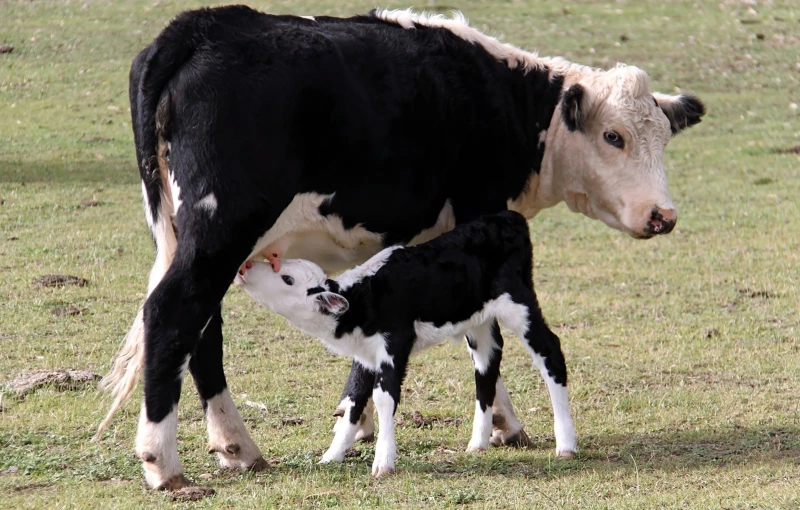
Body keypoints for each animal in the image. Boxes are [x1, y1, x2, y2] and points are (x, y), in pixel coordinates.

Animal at [234, 209, 572, 476]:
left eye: (287, 279)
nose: (245, 266)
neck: (363, 299)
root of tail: (508, 217)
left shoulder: (394, 344)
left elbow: (384, 398)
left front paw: (383, 462)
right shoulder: (366, 354)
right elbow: (354, 400)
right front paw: (332, 456)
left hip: (519, 303)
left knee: (550, 351)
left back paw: (566, 443)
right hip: (479, 322)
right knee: (487, 365)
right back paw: (477, 443)